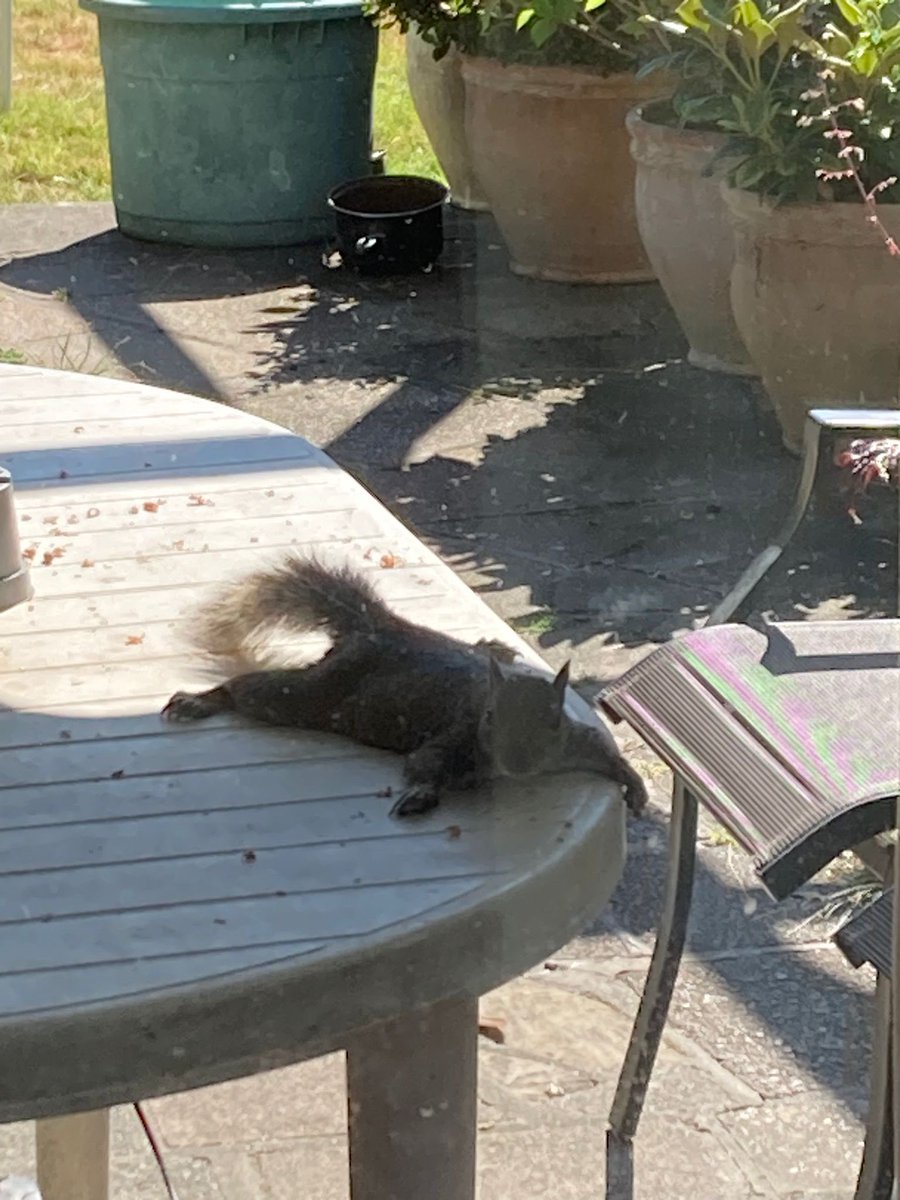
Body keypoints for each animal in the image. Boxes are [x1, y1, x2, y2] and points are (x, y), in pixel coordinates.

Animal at [162, 555, 648, 818]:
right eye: (490, 717)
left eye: (552, 721)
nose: (519, 764)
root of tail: (379, 629)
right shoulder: (452, 740)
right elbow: (424, 767)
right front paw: (422, 795)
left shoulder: (575, 744)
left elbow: (606, 754)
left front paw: (635, 786)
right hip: (312, 695)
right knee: (250, 690)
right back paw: (200, 701)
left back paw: (494, 647)